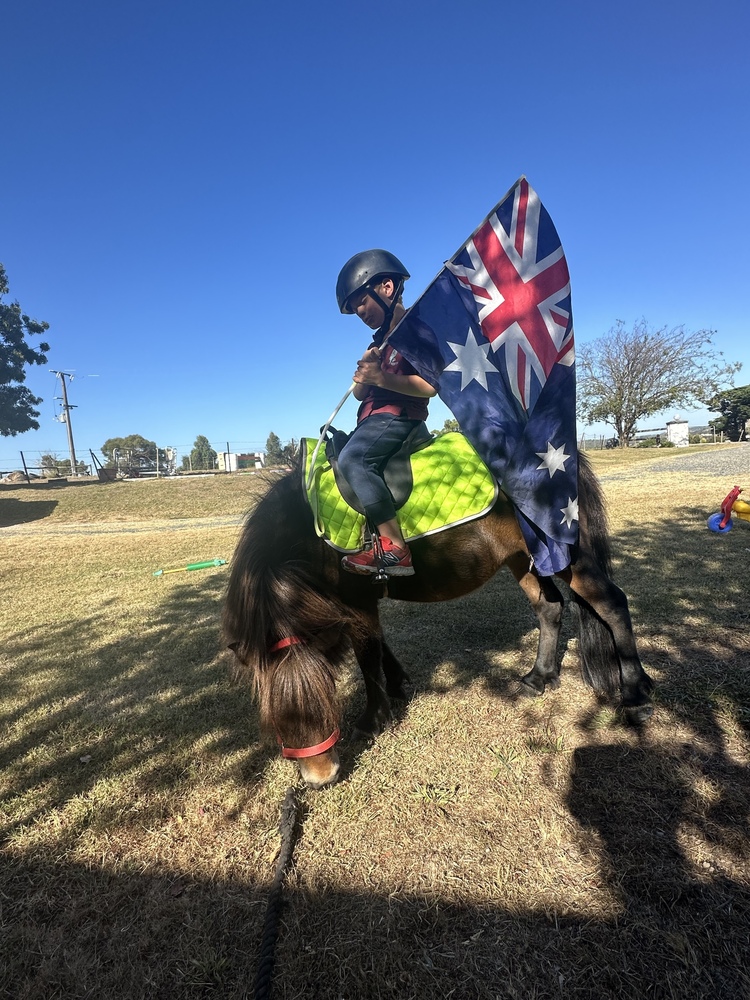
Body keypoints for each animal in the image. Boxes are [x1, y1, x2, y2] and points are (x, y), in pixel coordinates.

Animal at [223, 452, 653, 788]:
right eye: (274, 717)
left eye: (325, 700)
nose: (320, 777)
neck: (310, 529)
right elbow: (379, 646)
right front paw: (399, 683)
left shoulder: (357, 603)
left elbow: (367, 656)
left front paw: (372, 719)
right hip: (523, 557)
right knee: (550, 608)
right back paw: (539, 677)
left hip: (568, 558)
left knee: (612, 604)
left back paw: (635, 696)